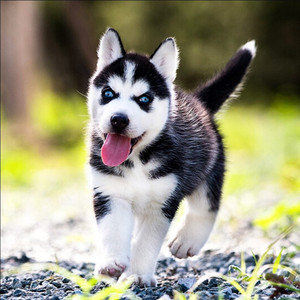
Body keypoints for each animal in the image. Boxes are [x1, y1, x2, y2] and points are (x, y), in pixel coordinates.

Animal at [86, 28, 255, 288]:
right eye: (108, 93)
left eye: (144, 99)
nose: (118, 119)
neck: (137, 159)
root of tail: (198, 102)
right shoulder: (110, 193)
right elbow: (114, 230)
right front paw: (112, 262)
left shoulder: (162, 202)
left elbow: (146, 242)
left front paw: (137, 274)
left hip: (206, 168)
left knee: (207, 206)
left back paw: (187, 240)